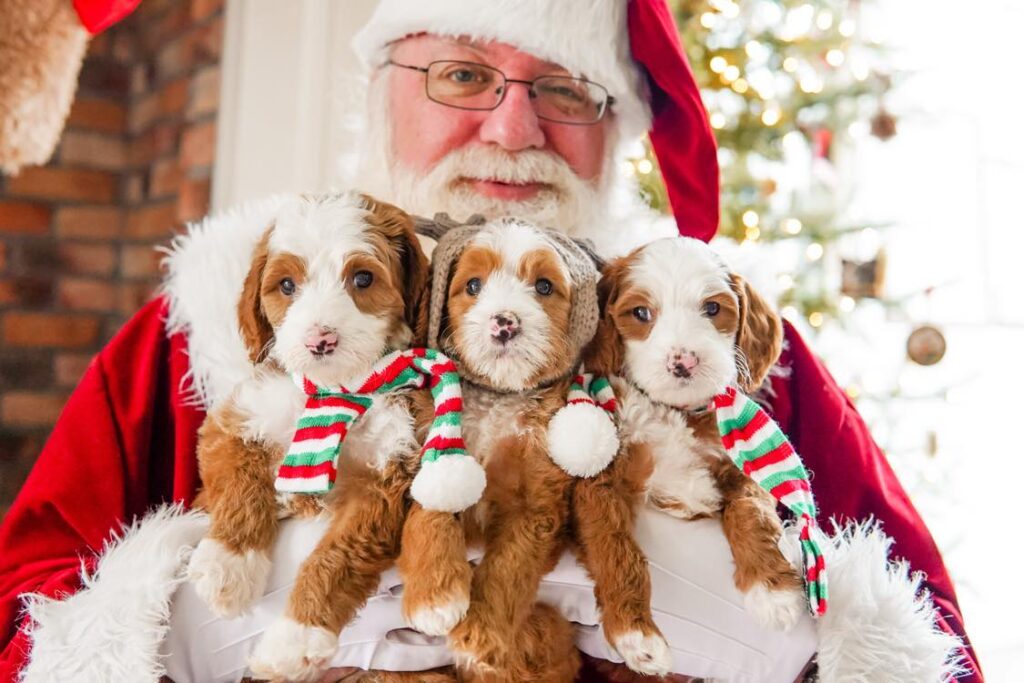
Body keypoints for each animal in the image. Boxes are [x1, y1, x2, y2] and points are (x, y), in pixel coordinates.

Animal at [186, 191, 434, 679]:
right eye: (286, 285)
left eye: (362, 278)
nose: (320, 340)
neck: (333, 389)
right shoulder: (232, 422)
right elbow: (239, 483)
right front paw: (228, 566)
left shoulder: (385, 480)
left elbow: (339, 556)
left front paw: (295, 639)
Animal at [399, 219, 671, 683]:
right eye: (473, 285)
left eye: (544, 286)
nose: (504, 323)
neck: (501, 396)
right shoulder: (434, 445)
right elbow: (429, 511)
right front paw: (433, 595)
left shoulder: (538, 502)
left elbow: (511, 565)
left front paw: (480, 635)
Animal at [585, 235, 806, 630]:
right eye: (640, 313)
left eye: (713, 308)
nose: (683, 362)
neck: (677, 414)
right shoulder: (601, 479)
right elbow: (610, 539)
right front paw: (633, 631)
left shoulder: (742, 470)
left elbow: (751, 510)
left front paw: (773, 592)